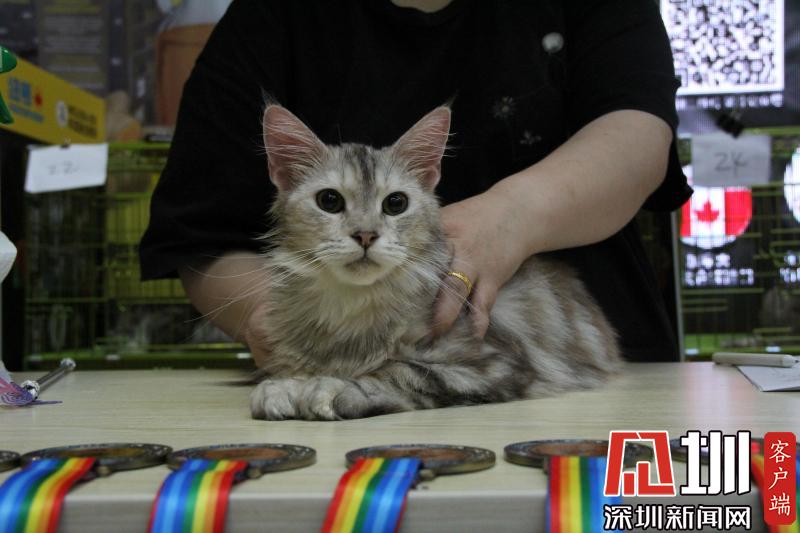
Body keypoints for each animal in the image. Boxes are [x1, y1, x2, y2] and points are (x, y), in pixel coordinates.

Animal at [249, 104, 621, 420]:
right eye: (329, 201)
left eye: (395, 203)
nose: (366, 235)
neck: (352, 312)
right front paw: (286, 385)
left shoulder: (495, 364)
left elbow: (399, 369)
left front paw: (331, 387)